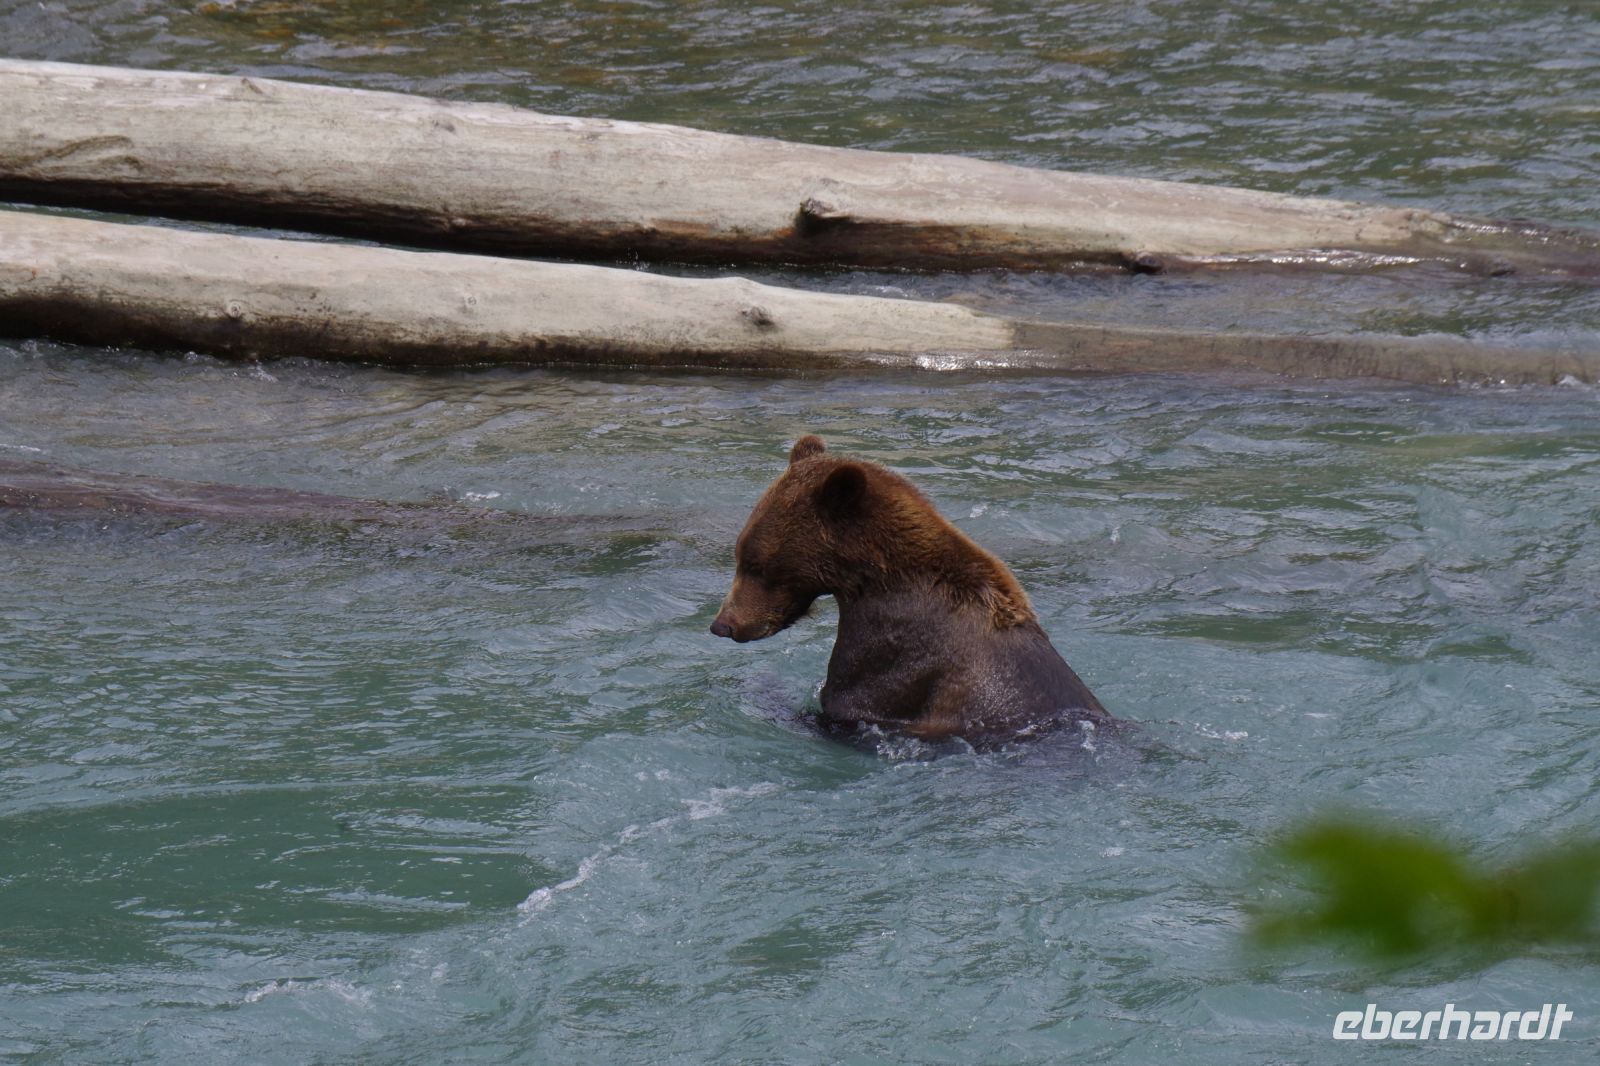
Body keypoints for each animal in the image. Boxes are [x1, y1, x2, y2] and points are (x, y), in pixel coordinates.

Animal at [709, 435, 1111, 743]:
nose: (722, 625)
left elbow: (848, 701)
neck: (873, 580)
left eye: (755, 564)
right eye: (741, 554)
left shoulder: (893, 649)